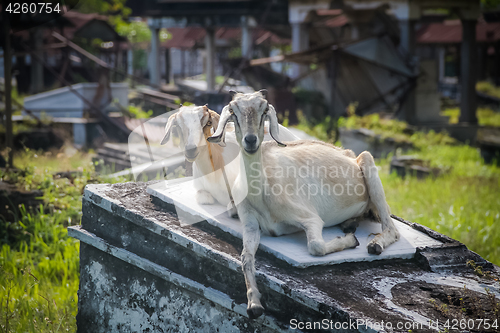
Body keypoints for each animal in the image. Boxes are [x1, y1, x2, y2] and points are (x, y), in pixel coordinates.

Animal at [206, 89, 398, 318]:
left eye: (264, 110)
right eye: (234, 112)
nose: (250, 140)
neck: (262, 192)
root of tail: (347, 153)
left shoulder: (309, 217)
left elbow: (316, 246)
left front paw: (351, 241)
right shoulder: (250, 224)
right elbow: (245, 256)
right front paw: (254, 304)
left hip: (369, 164)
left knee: (392, 228)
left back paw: (374, 243)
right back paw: (349, 223)